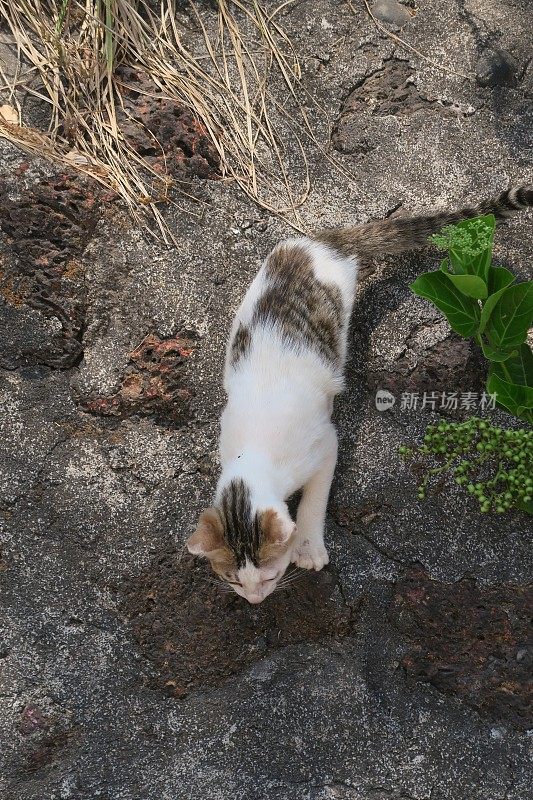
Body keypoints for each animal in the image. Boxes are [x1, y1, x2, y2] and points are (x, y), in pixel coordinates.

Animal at [186, 184, 532, 604]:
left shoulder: (323, 445)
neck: (254, 453)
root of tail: (320, 242)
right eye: (234, 580)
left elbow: (315, 499)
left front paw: (308, 547)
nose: (256, 600)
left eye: (269, 576)